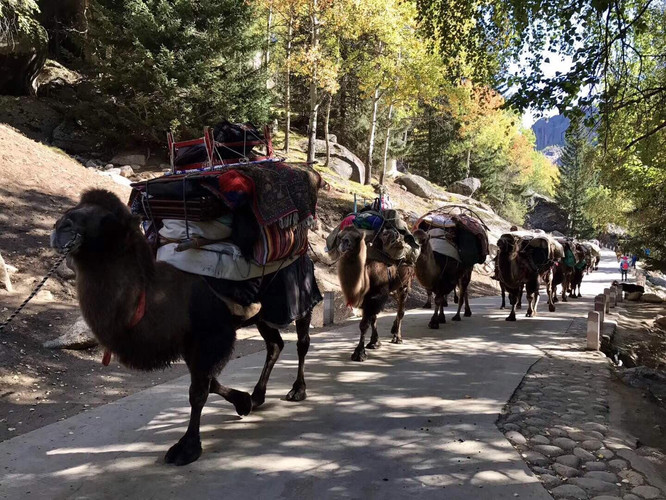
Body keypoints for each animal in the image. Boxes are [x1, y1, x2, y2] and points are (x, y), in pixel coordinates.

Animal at [52, 190, 320, 464]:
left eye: (108, 221)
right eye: (74, 209)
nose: (62, 227)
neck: (154, 296)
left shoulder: (211, 336)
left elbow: (199, 390)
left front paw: (187, 447)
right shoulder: (188, 341)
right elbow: (209, 382)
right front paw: (242, 401)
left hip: (300, 295)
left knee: (302, 341)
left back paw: (297, 390)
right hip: (261, 317)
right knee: (275, 344)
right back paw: (257, 396)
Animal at [338, 226, 410, 360]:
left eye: (357, 237)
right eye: (340, 236)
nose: (345, 242)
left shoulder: (375, 297)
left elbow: (364, 324)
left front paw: (359, 353)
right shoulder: (369, 299)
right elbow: (373, 318)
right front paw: (374, 342)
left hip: (405, 283)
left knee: (401, 310)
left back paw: (397, 337)